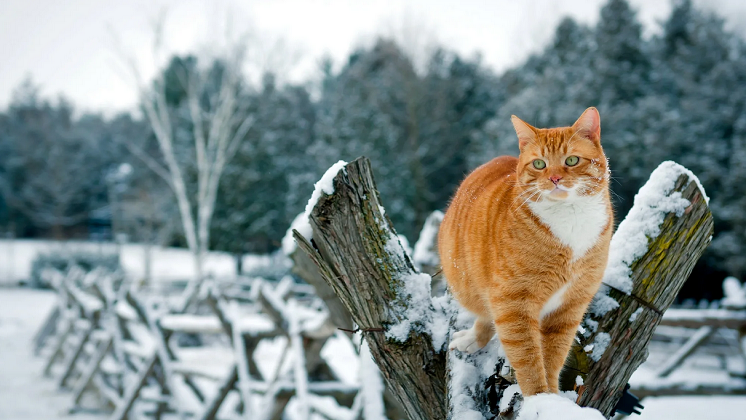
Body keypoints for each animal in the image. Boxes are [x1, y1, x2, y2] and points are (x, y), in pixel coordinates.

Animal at [436, 106, 612, 396]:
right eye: (539, 164)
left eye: (572, 160)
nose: (554, 178)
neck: (570, 217)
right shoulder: (513, 301)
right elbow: (528, 358)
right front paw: (538, 398)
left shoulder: (570, 306)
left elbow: (553, 357)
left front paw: (552, 397)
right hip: (474, 285)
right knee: (486, 314)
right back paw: (473, 338)